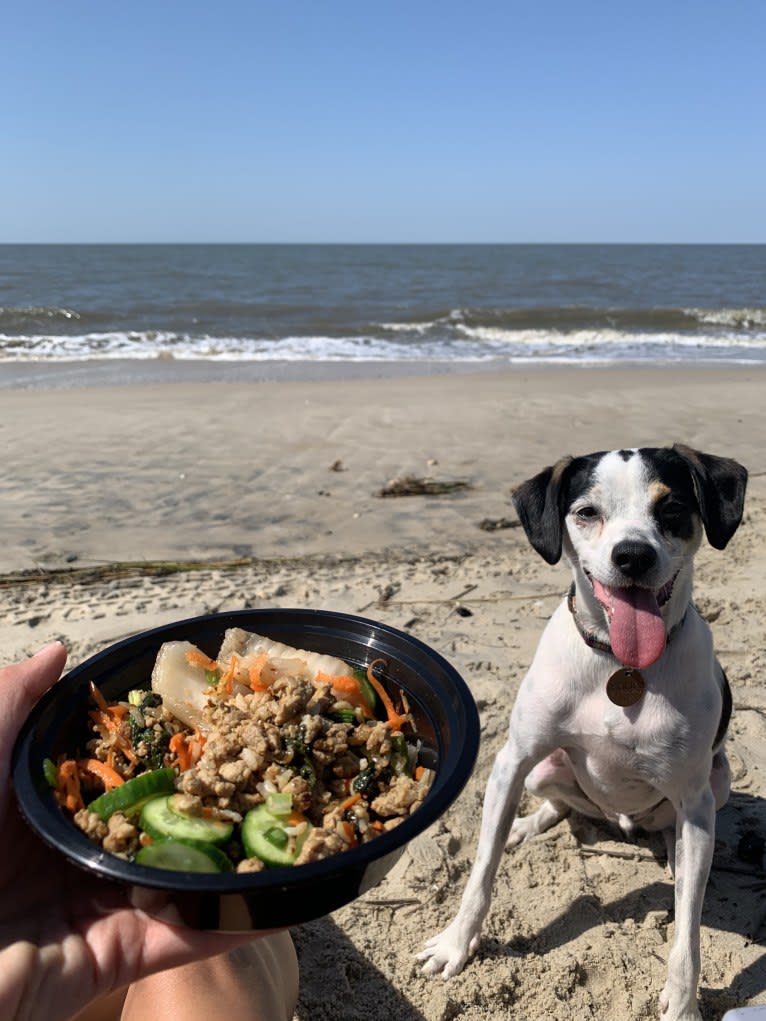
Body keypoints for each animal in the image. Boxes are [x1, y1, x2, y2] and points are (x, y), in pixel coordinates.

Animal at [420, 443, 751, 1021]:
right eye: (587, 512)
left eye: (671, 508)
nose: (632, 556)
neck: (621, 663)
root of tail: (619, 819)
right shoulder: (513, 760)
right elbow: (481, 873)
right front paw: (456, 945)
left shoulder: (694, 797)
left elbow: (688, 932)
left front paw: (683, 1004)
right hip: (542, 771)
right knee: (558, 804)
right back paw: (525, 826)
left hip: (718, 780)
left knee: (680, 838)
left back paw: (672, 852)